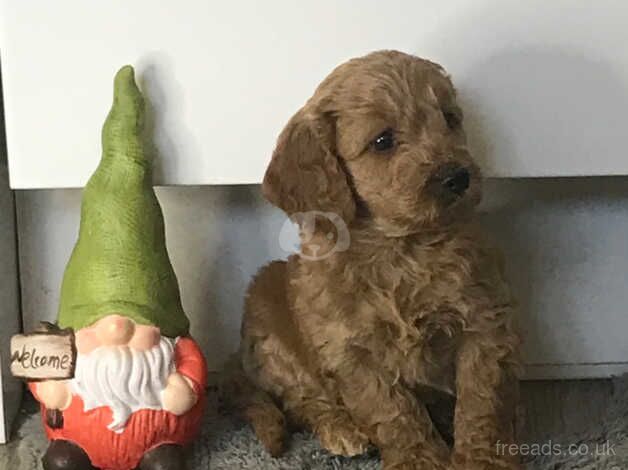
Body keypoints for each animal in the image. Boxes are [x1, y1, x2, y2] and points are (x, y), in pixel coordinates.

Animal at [236, 51, 520, 470]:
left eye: (450, 119)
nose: (458, 177)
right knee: (302, 401)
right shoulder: (351, 350)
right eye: (382, 141)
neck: (400, 247)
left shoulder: (484, 321)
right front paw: (420, 461)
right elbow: (394, 410)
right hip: (267, 316)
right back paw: (342, 429)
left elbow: (481, 401)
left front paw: (483, 460)